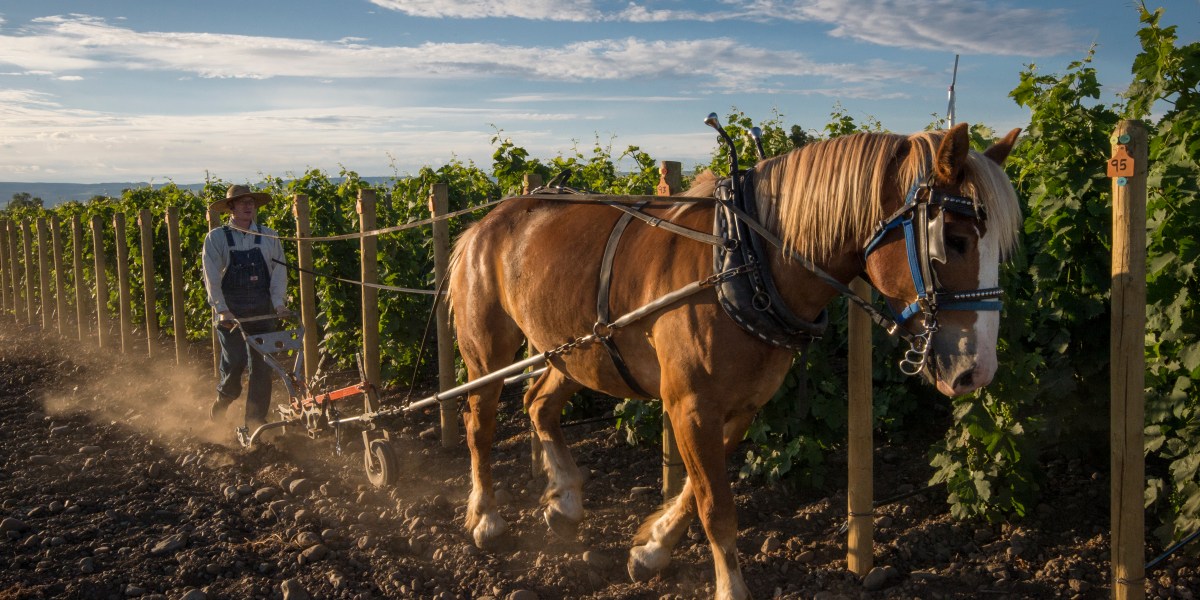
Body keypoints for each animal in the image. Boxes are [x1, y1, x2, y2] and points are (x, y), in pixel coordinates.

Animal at [447, 122, 1022, 600]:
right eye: (954, 239)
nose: (977, 371)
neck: (746, 261)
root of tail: (487, 221)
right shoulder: (690, 404)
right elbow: (716, 505)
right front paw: (727, 586)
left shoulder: (741, 405)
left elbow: (695, 489)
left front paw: (651, 549)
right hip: (487, 351)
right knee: (480, 422)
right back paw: (486, 518)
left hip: (576, 350)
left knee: (538, 404)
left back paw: (565, 501)